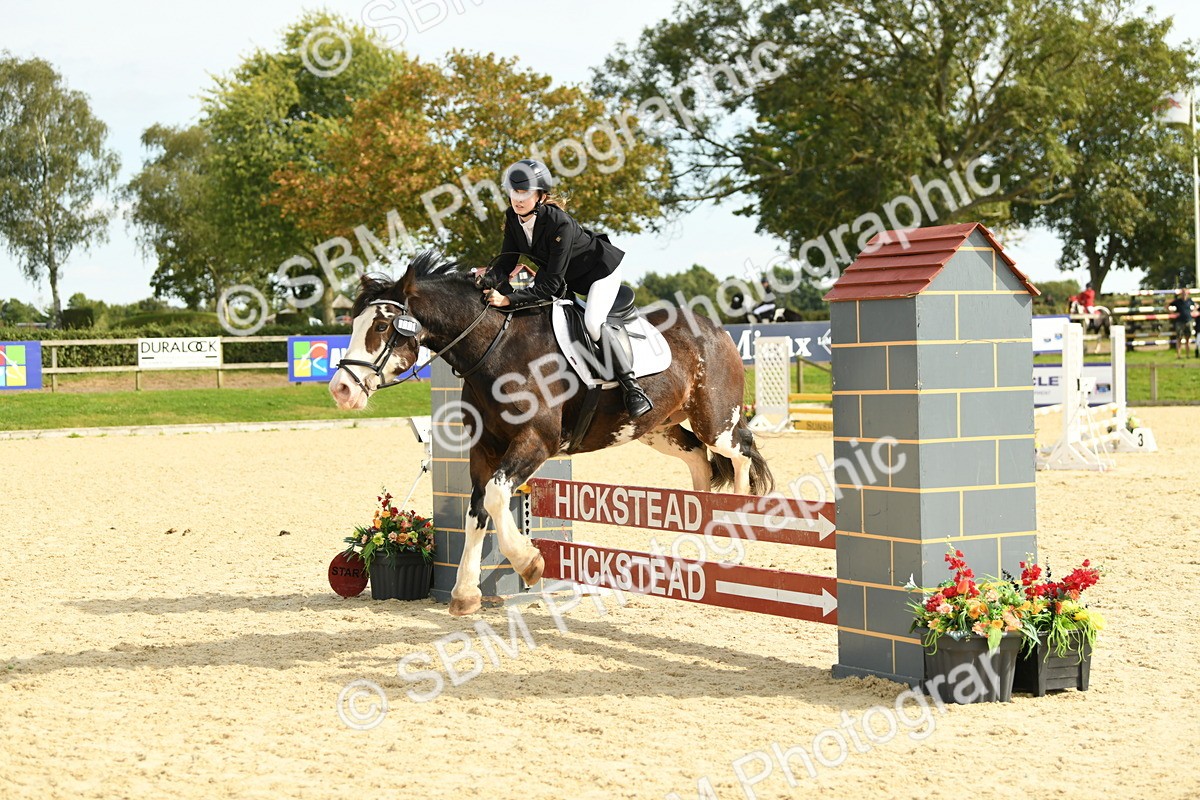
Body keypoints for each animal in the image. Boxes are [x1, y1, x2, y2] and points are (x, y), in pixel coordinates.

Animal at [329, 251, 774, 616]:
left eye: (382, 325)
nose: (341, 390)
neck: (494, 348)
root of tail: (717, 329)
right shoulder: (484, 449)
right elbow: (477, 512)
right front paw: (465, 594)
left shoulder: (535, 442)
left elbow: (496, 497)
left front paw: (530, 564)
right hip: (655, 428)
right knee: (698, 457)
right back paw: (701, 536)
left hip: (716, 421)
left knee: (739, 452)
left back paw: (734, 534)